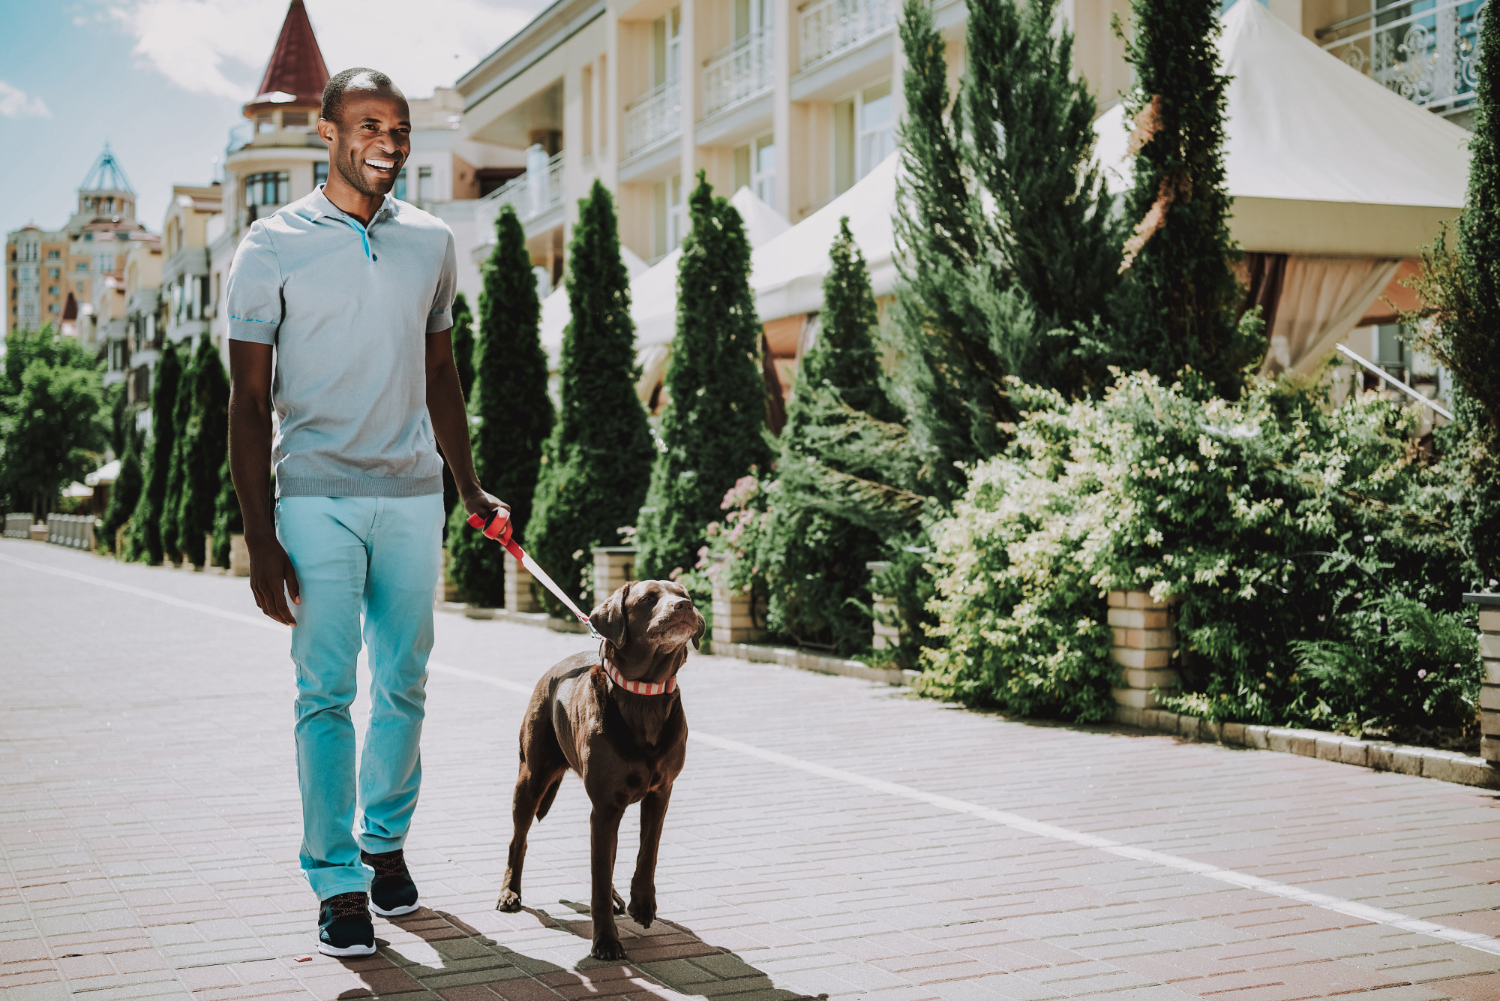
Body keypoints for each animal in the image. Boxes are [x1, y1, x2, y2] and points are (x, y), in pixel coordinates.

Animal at [495, 582, 699, 960]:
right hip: (530, 778)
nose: (684, 606)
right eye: (648, 599)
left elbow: (647, 851)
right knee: (519, 840)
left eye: (684, 594)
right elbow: (599, 879)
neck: (644, 694)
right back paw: (509, 892)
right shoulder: (604, 807)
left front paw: (642, 902)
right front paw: (605, 940)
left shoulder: (660, 794)